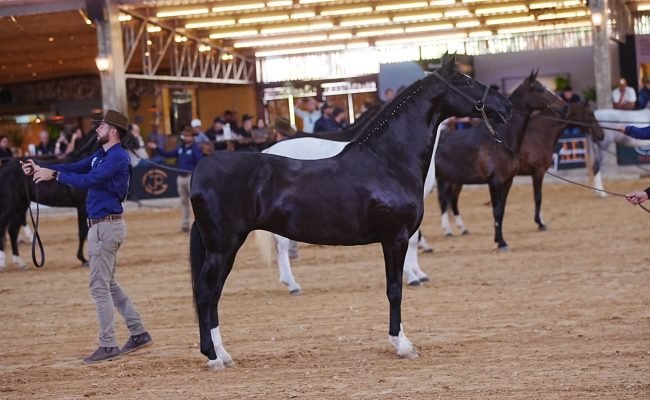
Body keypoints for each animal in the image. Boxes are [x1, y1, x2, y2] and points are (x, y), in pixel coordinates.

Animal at [189, 53, 512, 369]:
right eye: (464, 81)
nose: (505, 106)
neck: (389, 160)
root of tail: (200, 172)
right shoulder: (395, 238)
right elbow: (395, 289)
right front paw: (403, 345)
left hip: (225, 247)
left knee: (213, 293)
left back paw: (224, 354)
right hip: (223, 246)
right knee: (206, 292)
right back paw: (214, 356)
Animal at [435, 70, 568, 251]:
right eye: (540, 89)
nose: (564, 107)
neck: (501, 140)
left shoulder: (508, 181)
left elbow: (502, 211)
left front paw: (500, 240)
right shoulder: (494, 182)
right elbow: (496, 211)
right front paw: (501, 242)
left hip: (452, 180)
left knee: (450, 201)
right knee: (442, 202)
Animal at [436, 101, 605, 237]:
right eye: (590, 113)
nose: (601, 135)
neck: (539, 135)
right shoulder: (538, 173)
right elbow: (538, 197)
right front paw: (540, 223)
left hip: (455, 180)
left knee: (452, 200)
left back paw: (462, 229)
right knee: (445, 200)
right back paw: (448, 231)